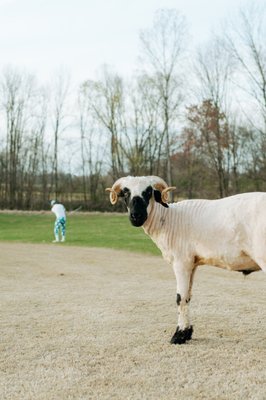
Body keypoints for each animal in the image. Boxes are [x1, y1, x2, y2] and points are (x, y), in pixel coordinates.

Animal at [106, 177, 266, 346]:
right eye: (126, 193)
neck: (169, 219)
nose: (136, 216)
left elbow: (180, 298)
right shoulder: (192, 264)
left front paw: (178, 335)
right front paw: (187, 332)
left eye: (148, 192)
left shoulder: (181, 262)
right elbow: (188, 296)